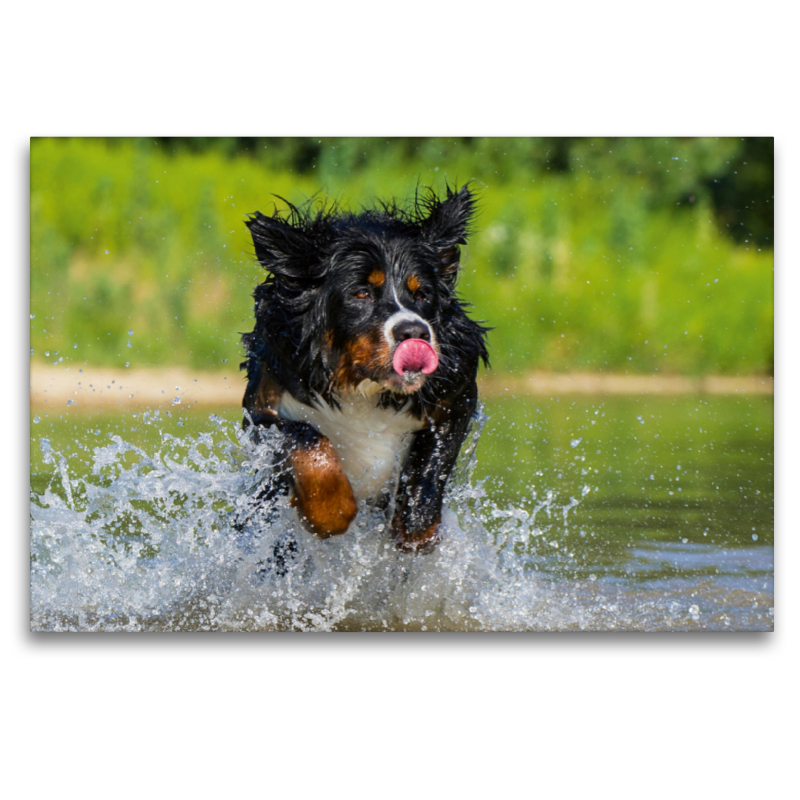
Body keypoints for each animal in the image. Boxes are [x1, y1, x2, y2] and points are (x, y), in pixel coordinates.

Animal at [238, 184, 488, 556]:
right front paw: (330, 513)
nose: (415, 332)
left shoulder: (454, 394)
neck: (363, 389)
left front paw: (415, 531)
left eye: (422, 293)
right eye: (360, 293)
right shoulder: (263, 405)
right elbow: (305, 439)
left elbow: (430, 469)